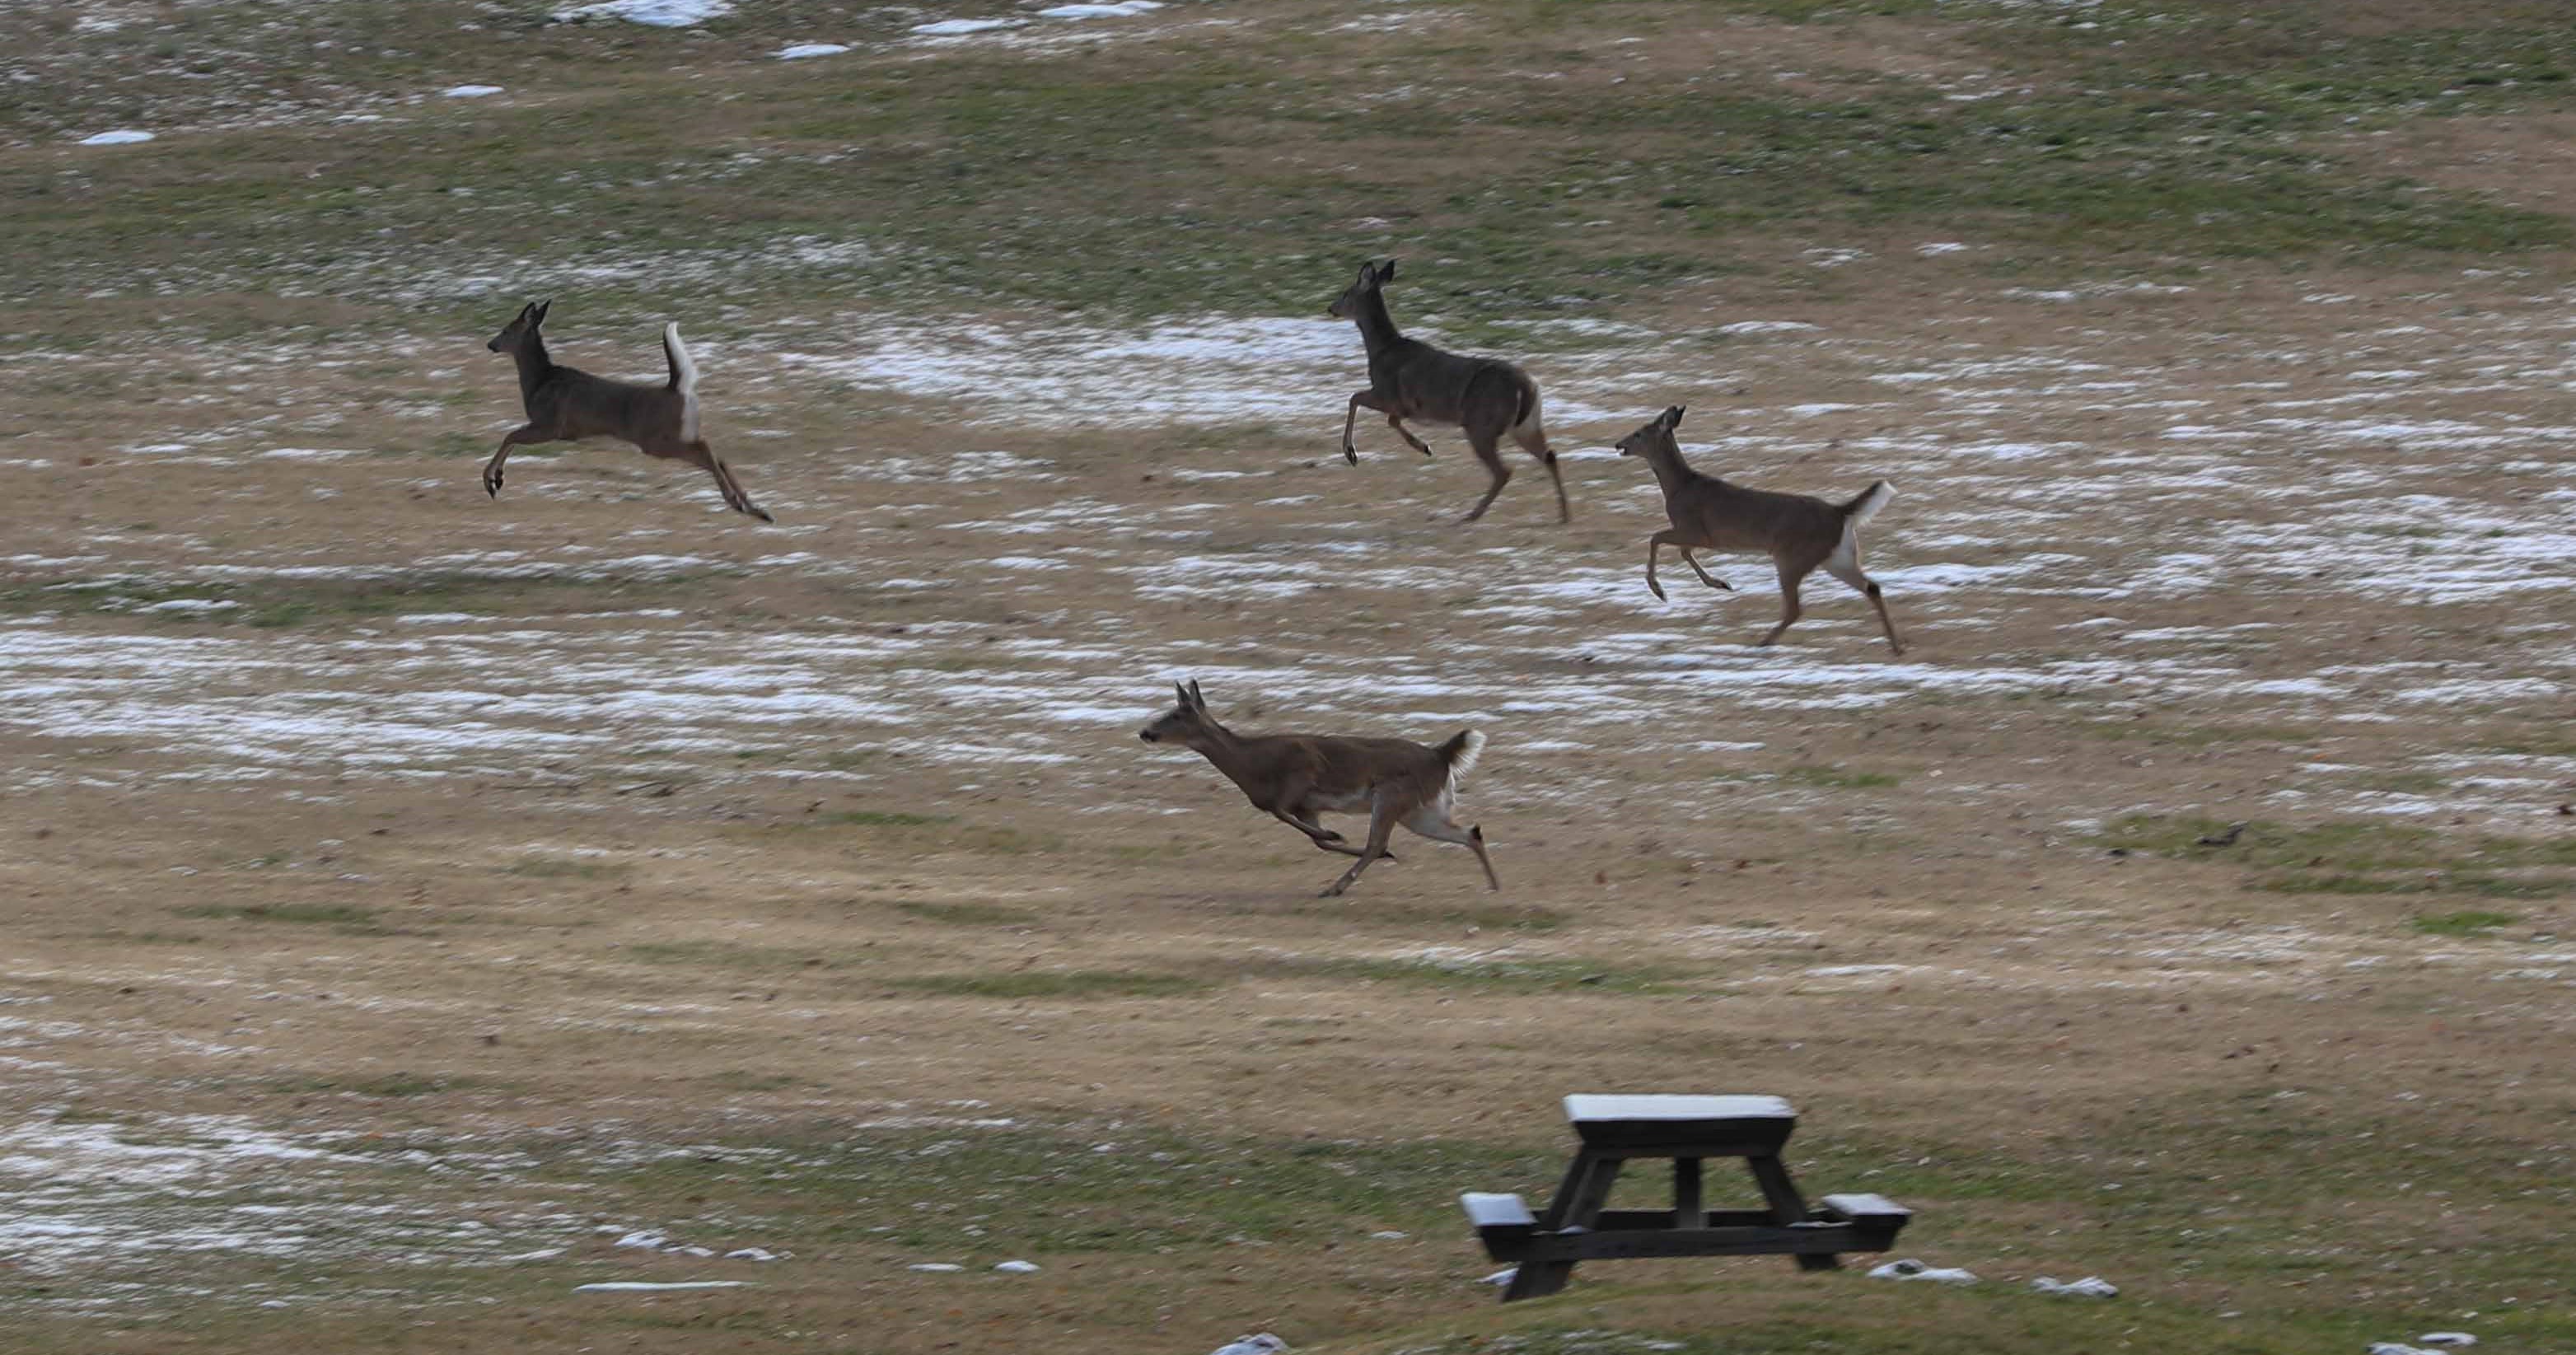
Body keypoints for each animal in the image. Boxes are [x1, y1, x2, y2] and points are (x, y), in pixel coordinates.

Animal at [481, 299, 773, 523]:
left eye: (506, 330)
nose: (490, 344)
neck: (540, 381)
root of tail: (676, 389)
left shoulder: (551, 424)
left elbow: (510, 436)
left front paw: (492, 481)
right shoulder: (549, 427)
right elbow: (511, 438)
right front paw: (498, 479)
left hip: (656, 440)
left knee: (706, 449)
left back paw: (738, 502)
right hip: (673, 435)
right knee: (717, 455)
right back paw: (757, 509)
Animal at [1138, 680, 1499, 898]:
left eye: (1177, 714)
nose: (1145, 732)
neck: (1253, 765)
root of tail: (1442, 755)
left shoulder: (1303, 775)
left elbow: (1290, 818)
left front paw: (1336, 834)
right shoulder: (1305, 805)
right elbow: (1314, 839)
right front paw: (1334, 837)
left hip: (1391, 794)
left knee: (1378, 842)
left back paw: (1336, 887)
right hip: (1421, 809)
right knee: (1470, 833)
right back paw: (1494, 885)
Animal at [1327, 259, 1569, 524]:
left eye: (1346, 293)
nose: (1331, 308)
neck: (1382, 351)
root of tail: (1526, 388)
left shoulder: (1389, 394)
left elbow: (1357, 400)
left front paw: (1353, 453)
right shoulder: (1401, 405)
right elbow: (1388, 418)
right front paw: (1423, 446)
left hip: (1481, 425)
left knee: (1504, 470)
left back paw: (1472, 514)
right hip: (1525, 425)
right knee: (1550, 455)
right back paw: (1564, 514)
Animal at [1615, 405, 1906, 655]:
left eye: (1639, 433)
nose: (1619, 444)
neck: (1679, 487)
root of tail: (1839, 512)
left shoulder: (1696, 530)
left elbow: (1656, 539)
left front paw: (1659, 591)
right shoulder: (1698, 535)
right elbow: (1683, 552)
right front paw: (1720, 583)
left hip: (1792, 558)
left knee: (1796, 608)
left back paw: (1763, 642)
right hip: (1838, 556)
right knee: (1872, 587)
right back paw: (1896, 646)